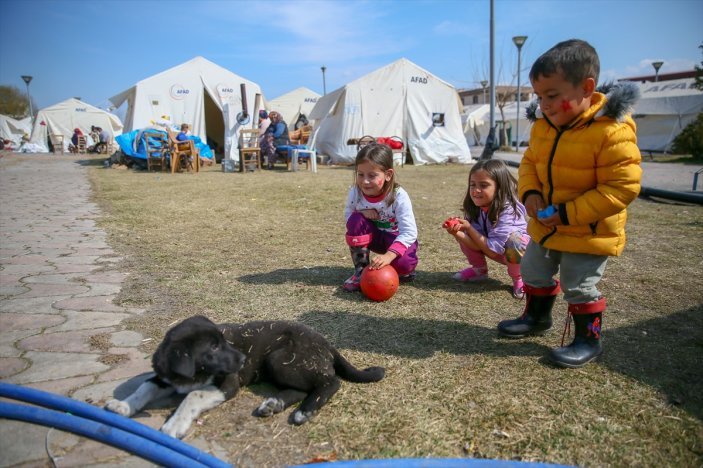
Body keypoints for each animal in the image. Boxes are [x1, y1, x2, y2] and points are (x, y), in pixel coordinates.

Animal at [106, 314, 384, 438]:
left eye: (222, 341)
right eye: (213, 348)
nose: (242, 360)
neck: (194, 375)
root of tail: (326, 343)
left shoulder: (228, 384)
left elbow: (193, 396)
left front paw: (175, 424)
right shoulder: (165, 378)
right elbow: (143, 388)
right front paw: (122, 406)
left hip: (281, 360)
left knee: (330, 381)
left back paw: (305, 411)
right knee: (301, 388)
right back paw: (274, 403)